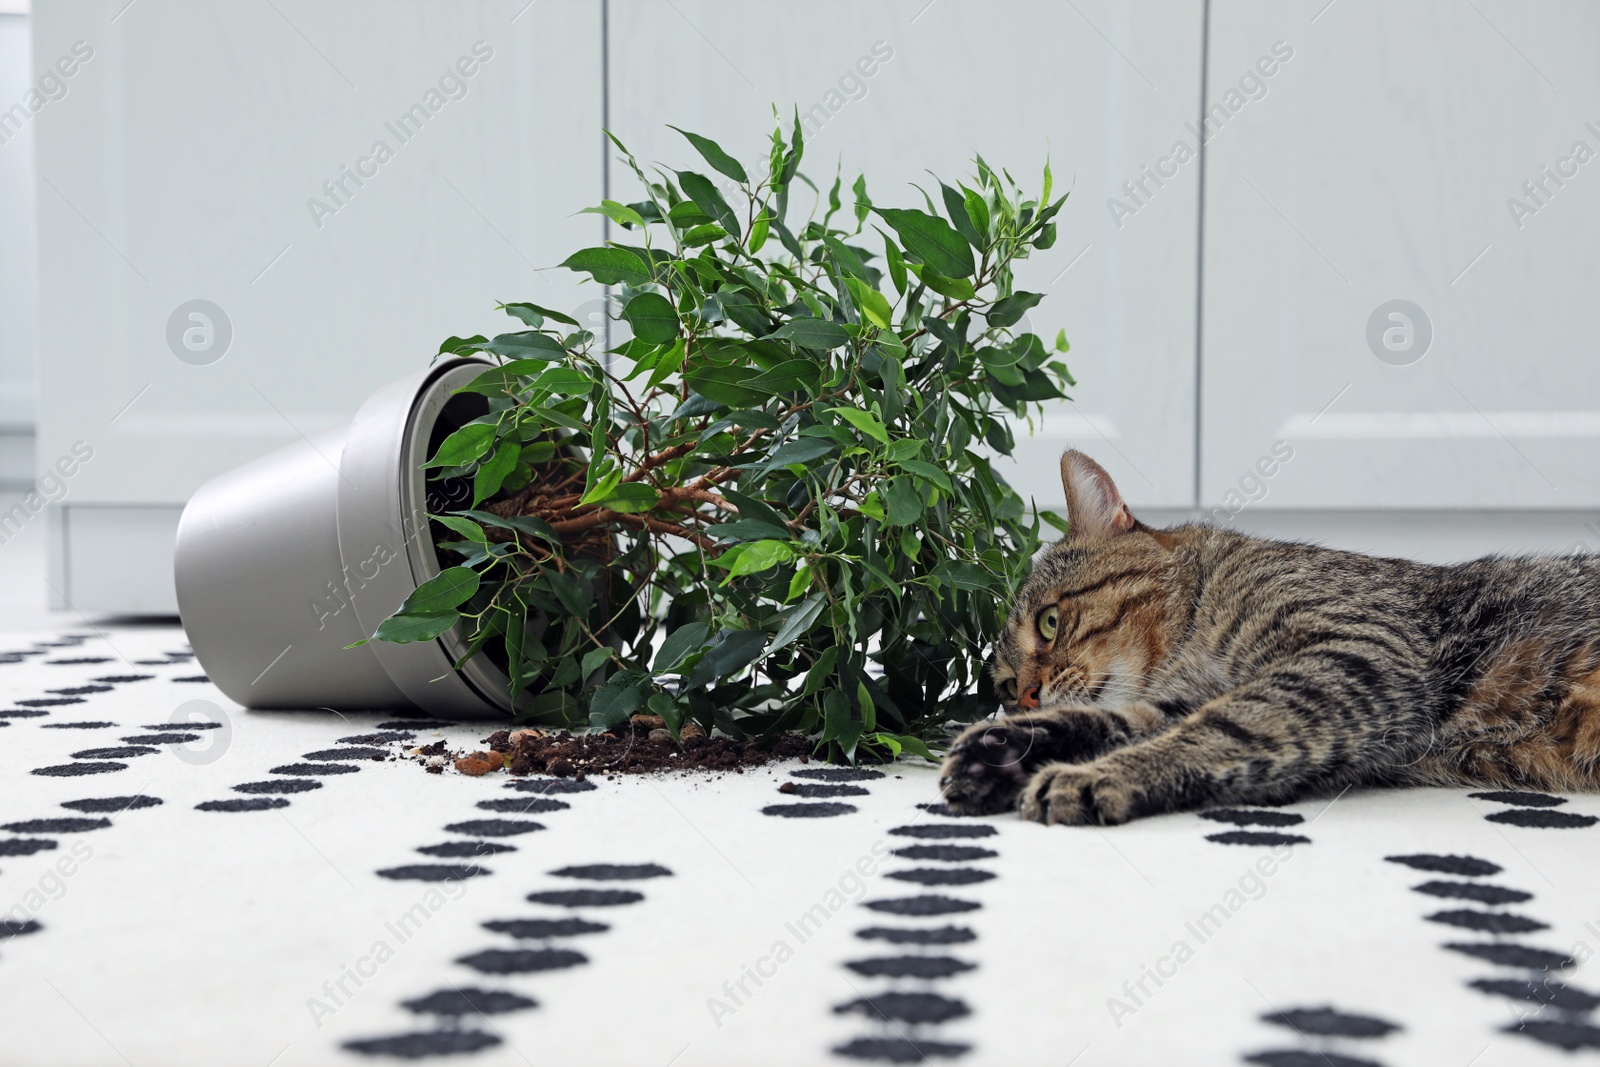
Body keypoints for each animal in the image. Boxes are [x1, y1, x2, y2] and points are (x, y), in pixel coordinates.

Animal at [934, 451, 1600, 825]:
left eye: (1049, 622)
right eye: (1002, 684)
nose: (1024, 696)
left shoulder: (1350, 655)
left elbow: (1218, 730)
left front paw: (1099, 775)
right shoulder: (1193, 697)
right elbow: (1117, 722)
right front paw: (1005, 746)